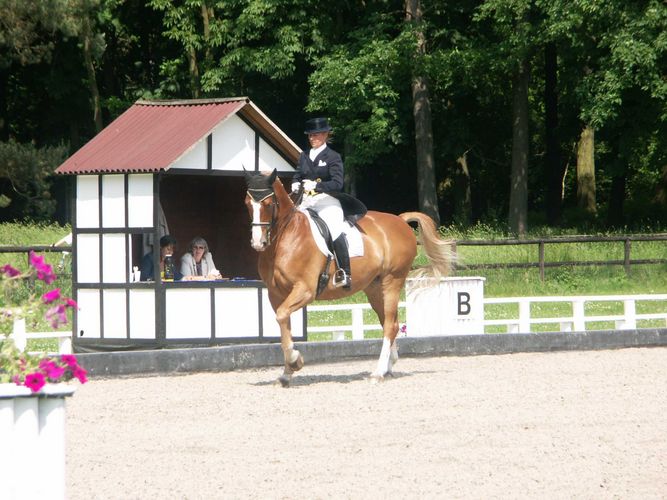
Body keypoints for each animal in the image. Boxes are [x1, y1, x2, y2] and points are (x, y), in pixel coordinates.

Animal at [245, 169, 454, 386]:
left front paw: (295, 361)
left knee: (389, 325)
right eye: (247, 203)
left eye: (268, 204)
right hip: (374, 288)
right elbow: (283, 322)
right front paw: (287, 373)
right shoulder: (275, 294)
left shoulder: (305, 290)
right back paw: (388, 367)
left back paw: (378, 372)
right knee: (391, 323)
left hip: (392, 280)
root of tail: (399, 220)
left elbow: (282, 317)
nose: (258, 243)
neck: (287, 237)